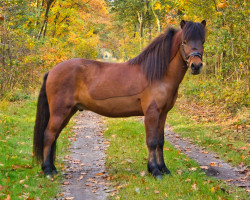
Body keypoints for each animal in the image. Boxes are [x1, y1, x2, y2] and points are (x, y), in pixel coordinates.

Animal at [33, 19, 205, 178]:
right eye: (184, 41)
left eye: (203, 41)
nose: (196, 66)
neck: (157, 74)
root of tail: (52, 71)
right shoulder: (152, 113)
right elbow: (152, 141)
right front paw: (155, 171)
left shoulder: (162, 114)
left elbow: (160, 142)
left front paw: (164, 169)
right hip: (60, 111)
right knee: (49, 135)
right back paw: (47, 170)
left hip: (68, 112)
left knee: (54, 136)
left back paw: (52, 168)